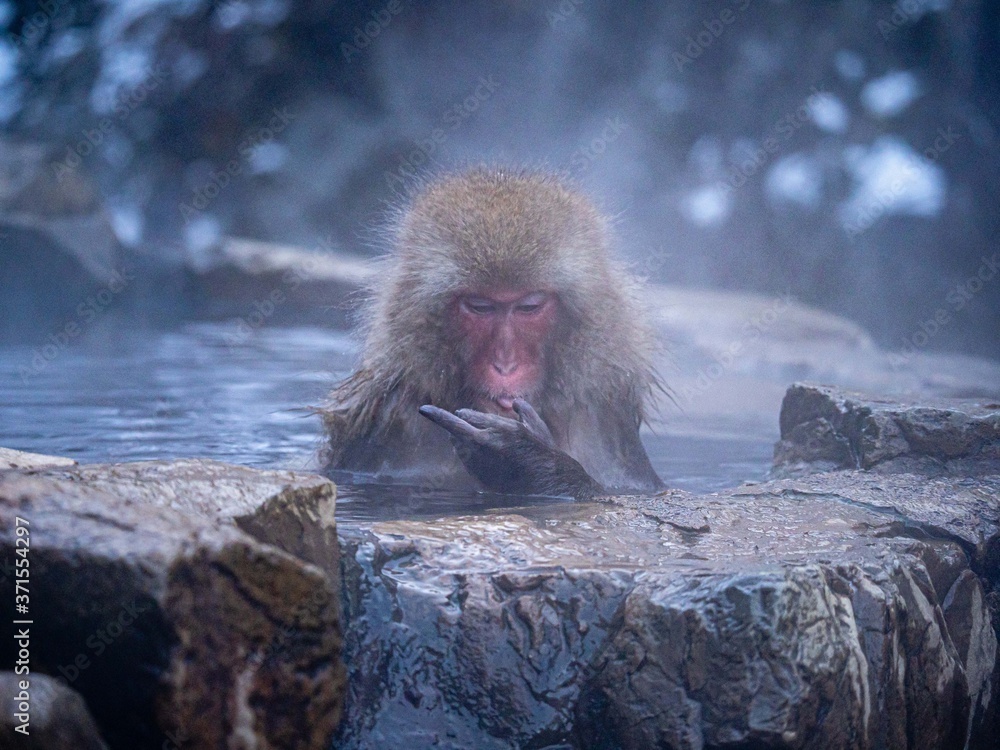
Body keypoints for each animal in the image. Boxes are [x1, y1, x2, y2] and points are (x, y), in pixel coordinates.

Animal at [320, 167, 665, 498]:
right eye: (480, 307)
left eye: (529, 306)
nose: (505, 364)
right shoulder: (383, 417)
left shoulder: (605, 422)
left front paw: (523, 460)